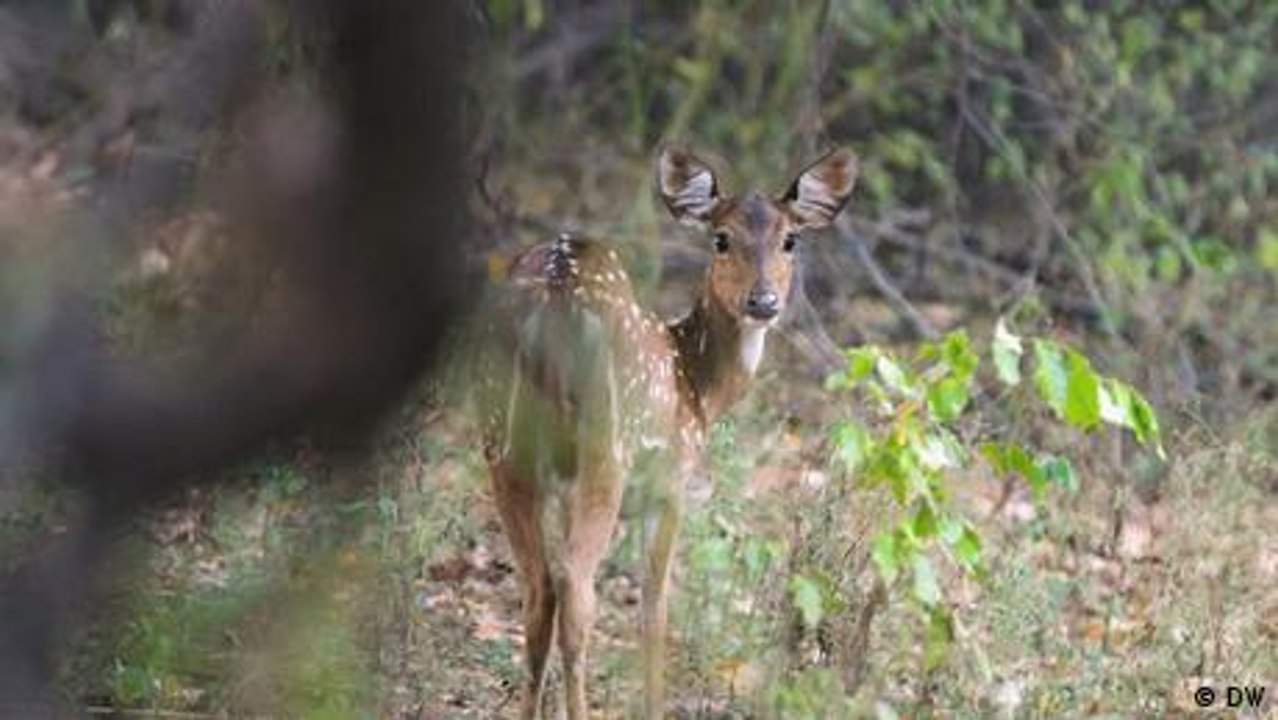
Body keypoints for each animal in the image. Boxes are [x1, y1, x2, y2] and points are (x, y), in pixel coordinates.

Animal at [479, 146, 858, 719]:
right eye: (721, 238)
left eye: (790, 239)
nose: (763, 302)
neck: (696, 386)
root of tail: (552, 299)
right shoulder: (671, 484)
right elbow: (655, 609)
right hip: (606, 451)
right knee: (575, 588)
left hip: (505, 449)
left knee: (539, 588)